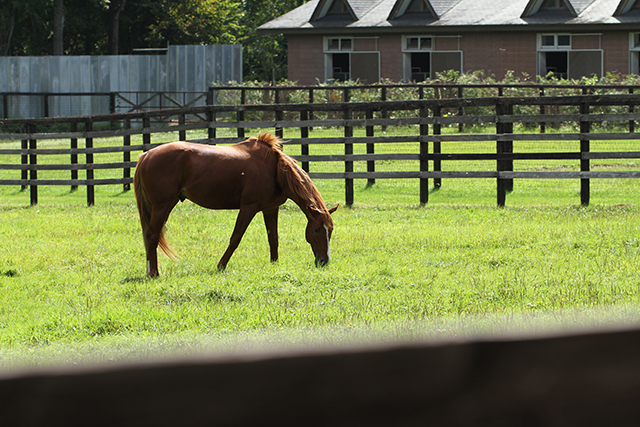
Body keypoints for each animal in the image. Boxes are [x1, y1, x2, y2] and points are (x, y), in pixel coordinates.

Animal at [133, 133, 338, 278]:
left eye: (330, 230)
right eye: (317, 230)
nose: (324, 261)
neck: (275, 169)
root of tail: (147, 155)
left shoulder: (270, 209)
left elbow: (273, 238)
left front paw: (274, 264)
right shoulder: (248, 208)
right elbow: (235, 238)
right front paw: (221, 266)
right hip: (162, 206)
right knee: (152, 236)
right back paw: (154, 273)